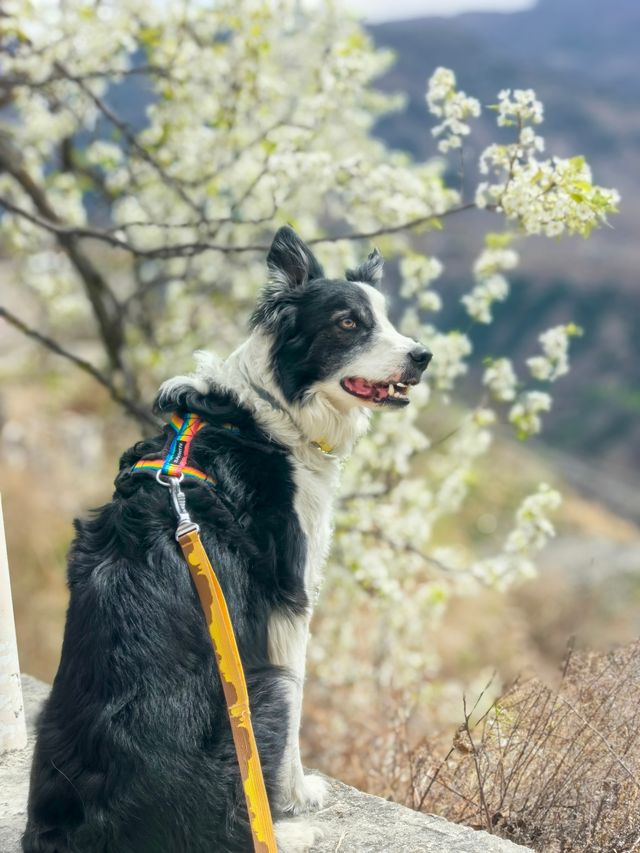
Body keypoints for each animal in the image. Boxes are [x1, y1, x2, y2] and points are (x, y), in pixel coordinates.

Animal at [26, 226, 436, 852]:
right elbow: (293, 733)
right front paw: (298, 796)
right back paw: (288, 832)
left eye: (388, 319)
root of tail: (99, 828)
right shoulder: (290, 602)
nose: (422, 356)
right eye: (348, 322)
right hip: (260, 693)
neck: (272, 409)